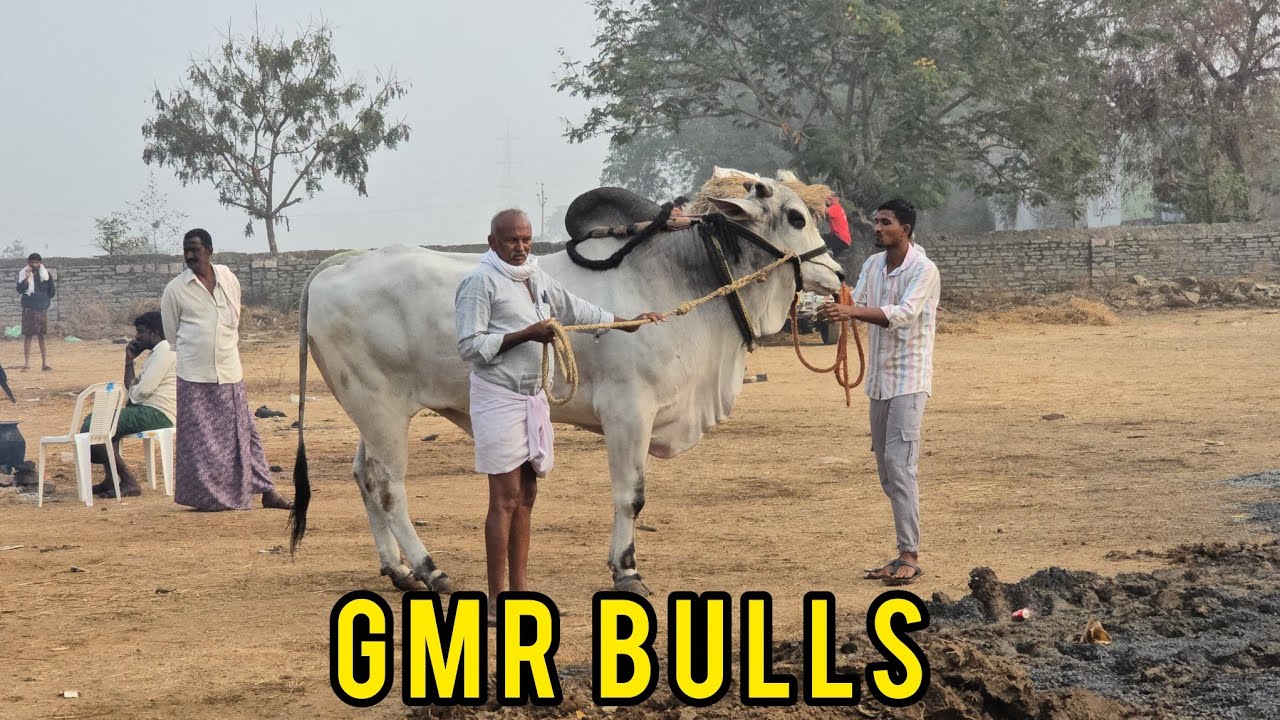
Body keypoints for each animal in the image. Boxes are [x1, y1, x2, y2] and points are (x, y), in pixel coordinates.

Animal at [288, 178, 844, 595]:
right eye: (796, 217)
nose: (838, 274)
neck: (677, 278)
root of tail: (339, 263)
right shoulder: (628, 412)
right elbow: (630, 496)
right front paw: (626, 569)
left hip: (373, 414)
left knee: (364, 476)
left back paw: (398, 570)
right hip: (380, 410)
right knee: (388, 486)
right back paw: (429, 569)